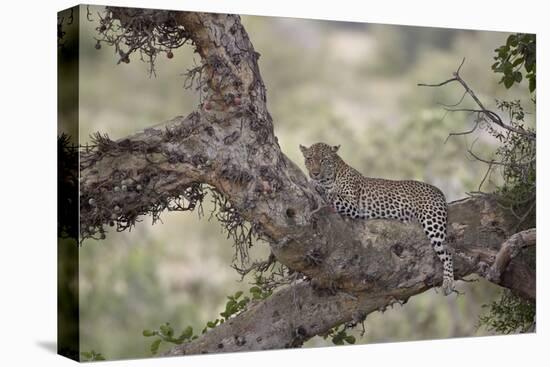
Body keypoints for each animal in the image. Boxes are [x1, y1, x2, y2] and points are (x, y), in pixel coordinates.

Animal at [304, 142, 454, 296]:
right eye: (309, 159)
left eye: (324, 160)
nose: (315, 173)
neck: (331, 177)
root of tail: (438, 191)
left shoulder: (353, 205)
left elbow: (332, 194)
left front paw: (317, 185)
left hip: (432, 222)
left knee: (448, 252)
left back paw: (448, 283)